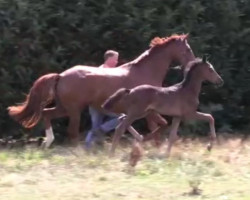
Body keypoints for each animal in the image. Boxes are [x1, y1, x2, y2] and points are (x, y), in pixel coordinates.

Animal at [7, 34, 195, 147]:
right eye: (187, 49)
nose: (193, 64)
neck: (145, 71)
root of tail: (61, 75)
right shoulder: (148, 110)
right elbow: (156, 126)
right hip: (74, 110)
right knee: (72, 132)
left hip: (64, 108)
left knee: (46, 114)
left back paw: (48, 142)